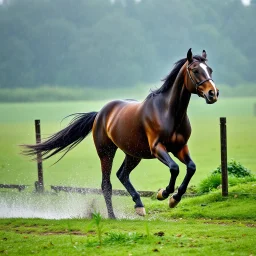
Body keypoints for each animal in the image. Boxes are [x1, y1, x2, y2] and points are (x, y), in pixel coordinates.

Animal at [22, 49, 219, 219]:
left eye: (210, 69)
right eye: (195, 70)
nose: (213, 94)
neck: (168, 113)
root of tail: (100, 114)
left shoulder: (180, 147)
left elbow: (191, 167)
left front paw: (174, 199)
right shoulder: (157, 148)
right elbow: (174, 168)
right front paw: (163, 194)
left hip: (133, 154)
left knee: (122, 175)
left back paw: (139, 206)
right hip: (106, 152)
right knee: (106, 184)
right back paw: (112, 216)